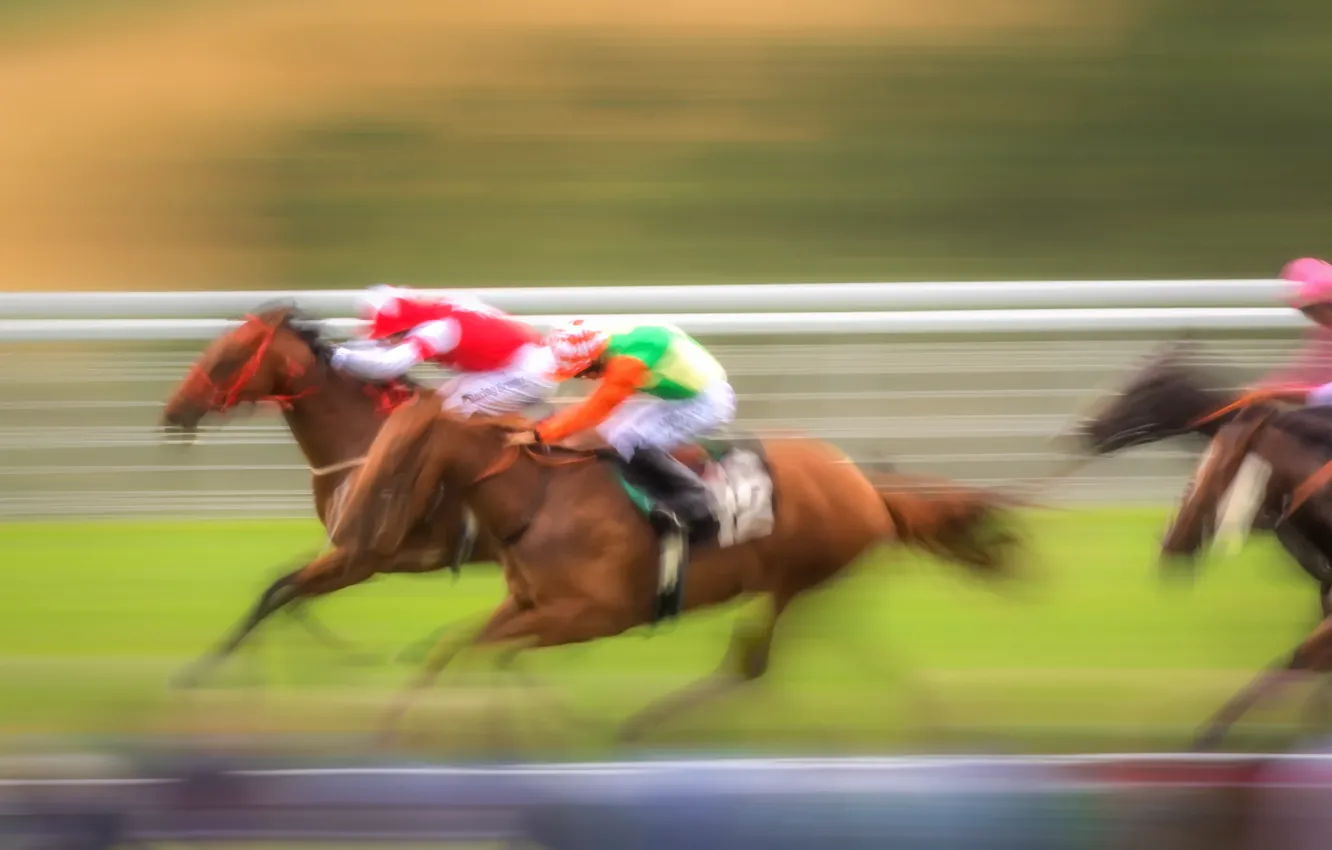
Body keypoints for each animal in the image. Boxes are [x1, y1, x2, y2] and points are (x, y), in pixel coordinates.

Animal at [160, 304, 503, 686]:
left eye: (228, 358)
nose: (173, 411)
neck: (362, 444)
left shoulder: (361, 558)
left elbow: (279, 592)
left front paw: (199, 671)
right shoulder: (346, 550)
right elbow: (282, 591)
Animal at [326, 392, 1025, 743]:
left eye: (394, 458)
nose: (345, 527)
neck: (537, 499)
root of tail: (862, 483)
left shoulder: (594, 615)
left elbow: (487, 652)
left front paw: (505, 731)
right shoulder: (530, 604)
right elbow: (455, 646)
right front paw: (389, 726)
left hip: (793, 577)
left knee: (749, 665)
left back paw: (645, 724)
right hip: (808, 584)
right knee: (785, 657)